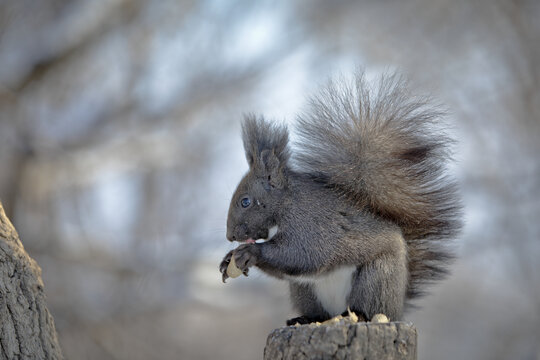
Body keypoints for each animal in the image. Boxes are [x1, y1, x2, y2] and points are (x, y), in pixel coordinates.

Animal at [217, 71, 462, 324]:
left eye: (245, 201)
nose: (230, 236)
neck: (286, 204)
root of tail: (398, 308)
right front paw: (228, 259)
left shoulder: (310, 225)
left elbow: (303, 255)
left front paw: (251, 252)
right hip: (304, 290)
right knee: (318, 311)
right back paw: (305, 318)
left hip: (376, 277)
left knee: (368, 306)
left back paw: (359, 314)